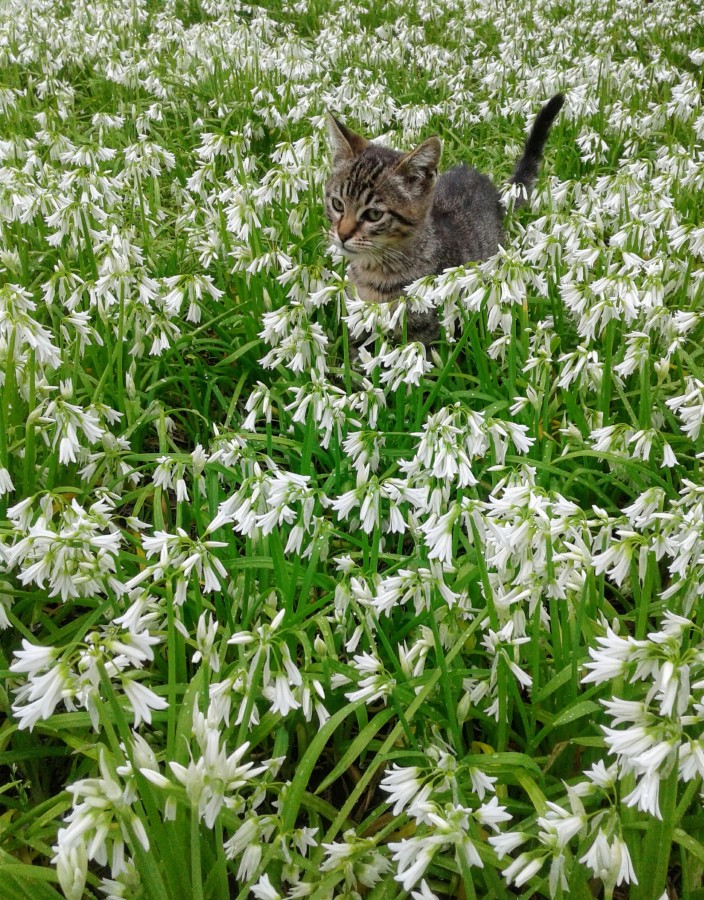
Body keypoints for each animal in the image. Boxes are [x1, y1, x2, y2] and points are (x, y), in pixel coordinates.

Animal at [326, 92, 568, 344]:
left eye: (374, 214)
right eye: (337, 204)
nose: (342, 235)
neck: (373, 269)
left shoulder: (424, 334)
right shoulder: (357, 326)